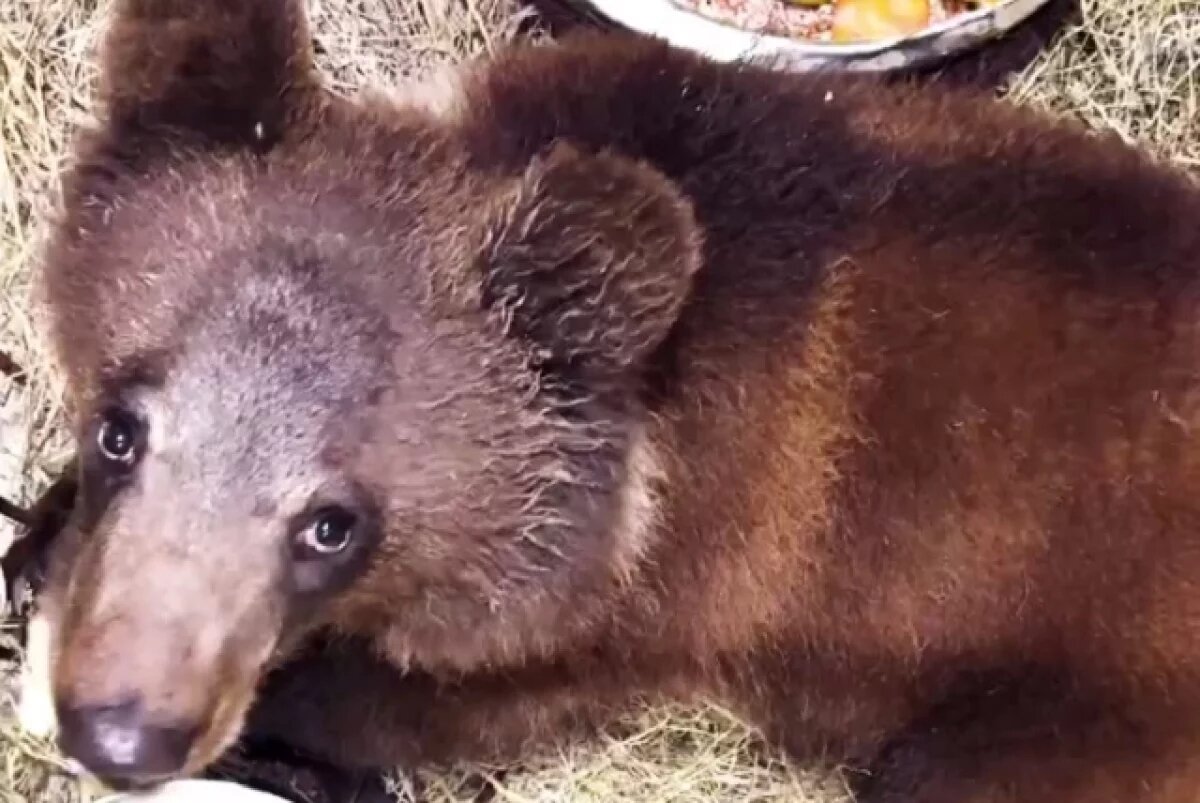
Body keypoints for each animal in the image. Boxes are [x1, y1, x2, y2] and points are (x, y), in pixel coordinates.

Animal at [16, 0, 1200, 796]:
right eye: (121, 428)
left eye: (332, 522)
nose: (125, 731)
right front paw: (36, 539)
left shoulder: (665, 597)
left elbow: (443, 699)